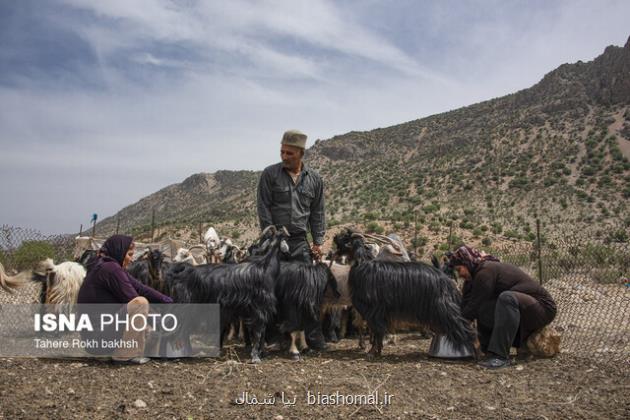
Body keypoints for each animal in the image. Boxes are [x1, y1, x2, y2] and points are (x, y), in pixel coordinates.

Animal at [334, 228, 476, 360]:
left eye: (346, 239)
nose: (335, 238)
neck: (363, 263)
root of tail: (445, 278)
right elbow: (377, 331)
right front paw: (378, 350)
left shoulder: (373, 310)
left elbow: (376, 330)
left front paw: (372, 352)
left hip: (442, 306)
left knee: (460, 322)